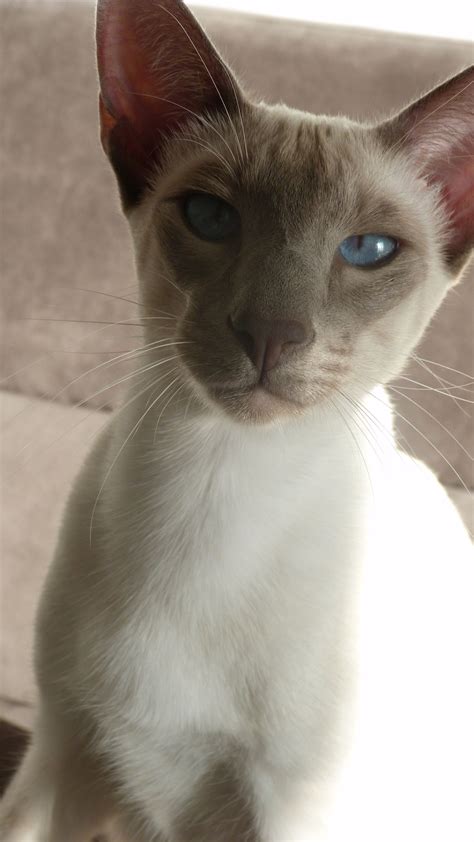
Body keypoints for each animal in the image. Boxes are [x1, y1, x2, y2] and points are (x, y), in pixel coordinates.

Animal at [0, 1, 474, 840]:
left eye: (369, 249)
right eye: (210, 216)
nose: (270, 333)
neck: (216, 482)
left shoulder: (290, 808)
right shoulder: (60, 749)